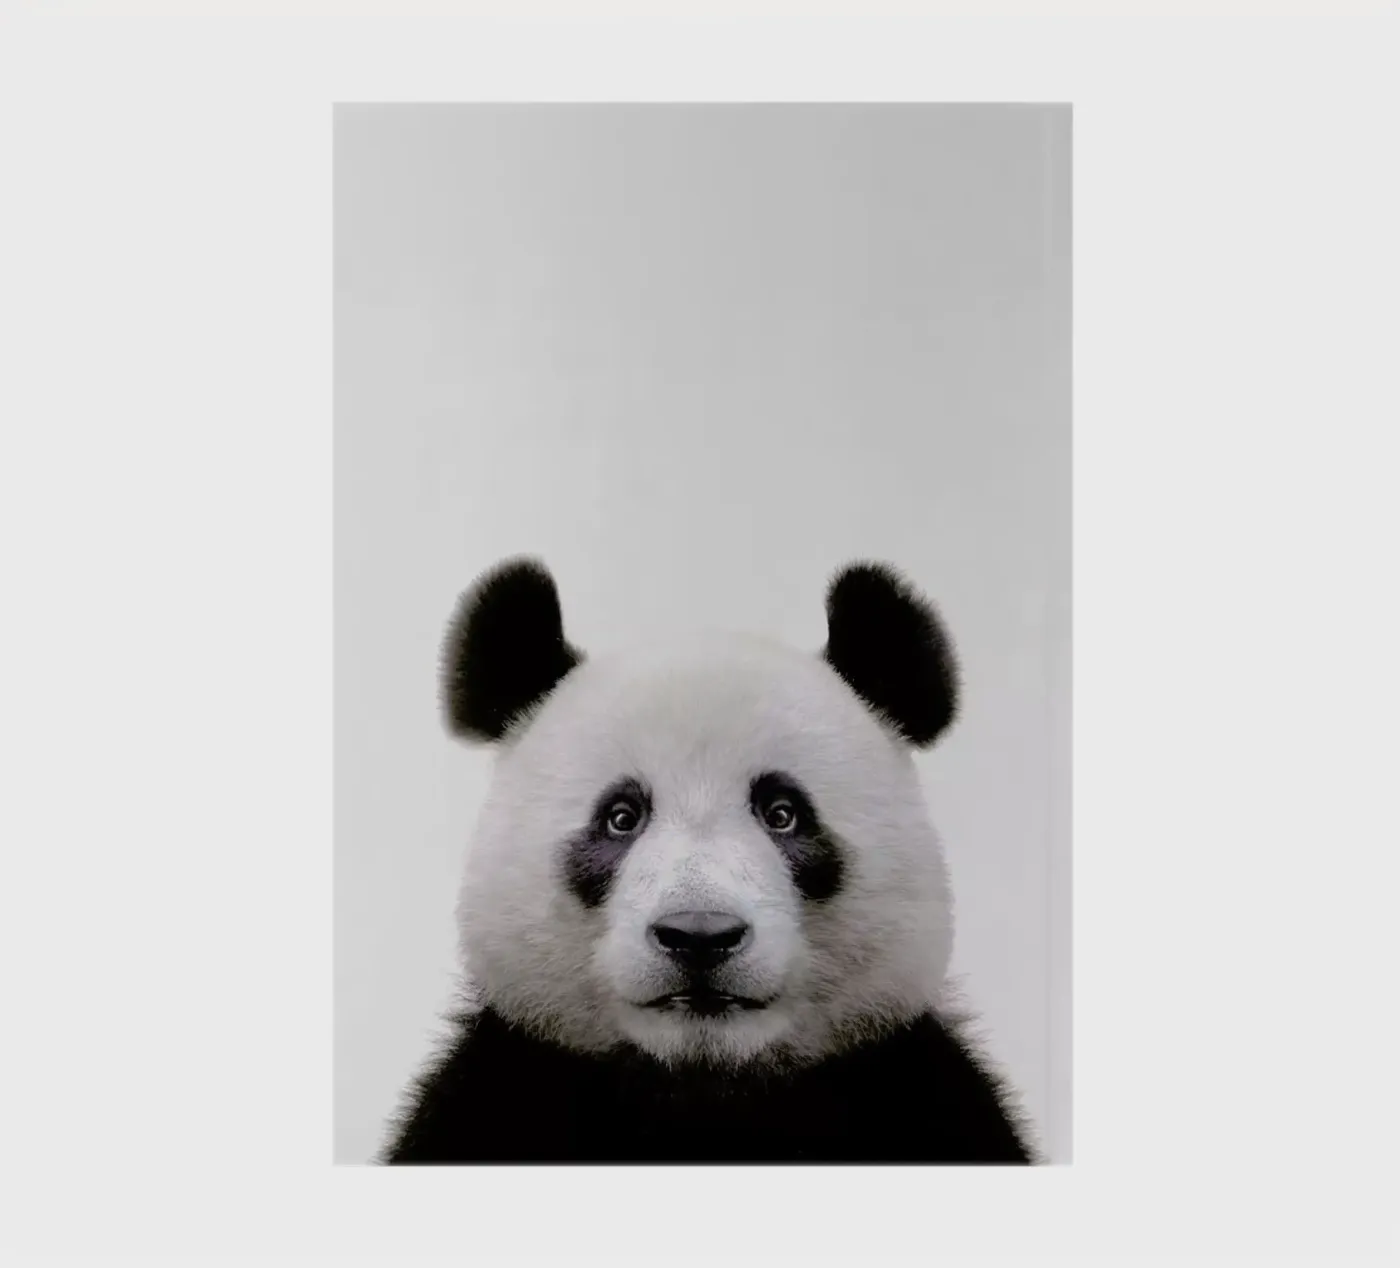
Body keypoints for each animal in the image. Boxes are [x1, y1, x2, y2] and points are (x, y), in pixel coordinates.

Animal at [382, 556, 1034, 1164]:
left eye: (783, 813)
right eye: (621, 816)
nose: (699, 936)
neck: (703, 1089)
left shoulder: (920, 1090)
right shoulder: (496, 1089)